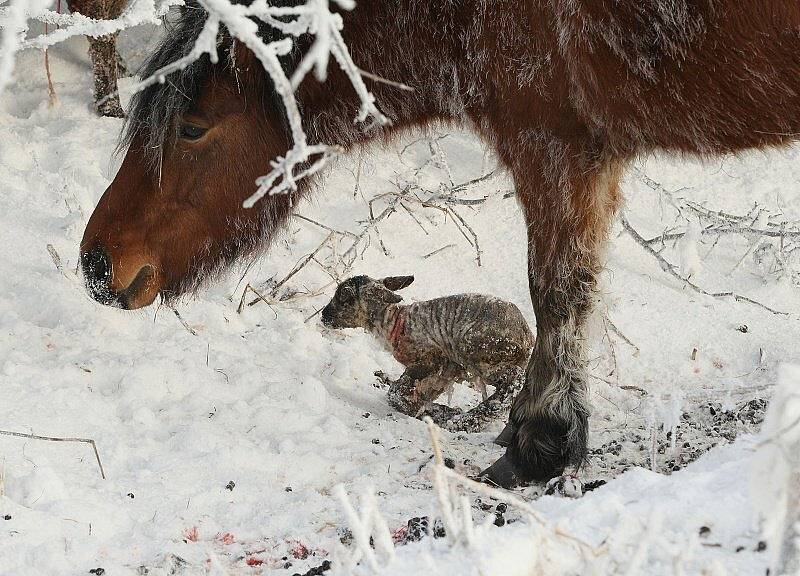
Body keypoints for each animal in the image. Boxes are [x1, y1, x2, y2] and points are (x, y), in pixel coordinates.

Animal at [320, 276, 536, 432]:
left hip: (479, 351)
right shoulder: (442, 373)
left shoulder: (432, 358)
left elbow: (396, 392)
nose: (323, 315)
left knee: (514, 380)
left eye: (344, 296)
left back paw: (467, 420)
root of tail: (527, 336)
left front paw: (440, 413)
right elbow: (417, 395)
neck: (394, 323)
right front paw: (433, 411)